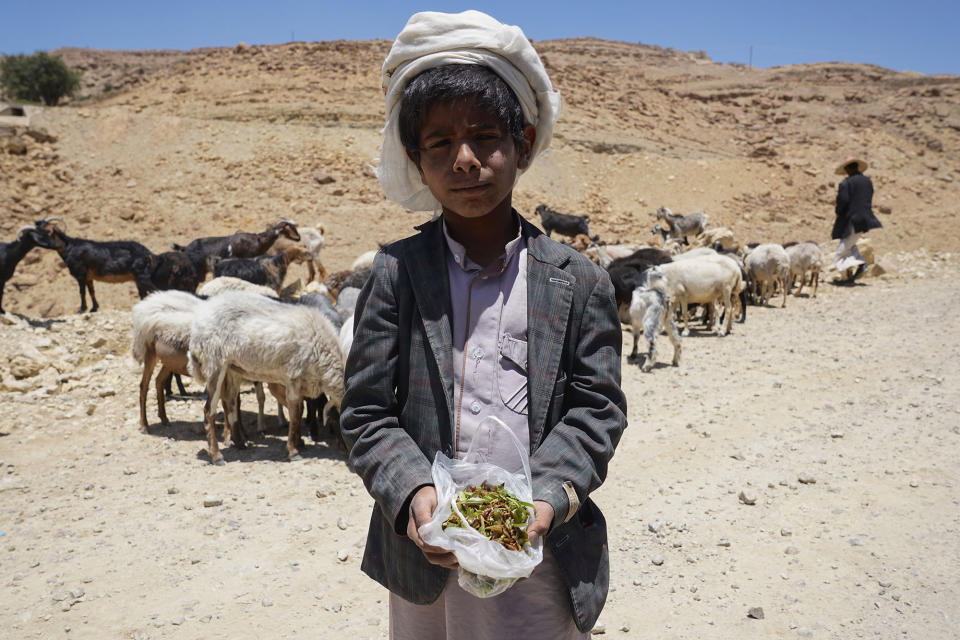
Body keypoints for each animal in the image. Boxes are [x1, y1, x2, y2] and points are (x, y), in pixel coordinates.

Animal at [188, 292, 344, 464]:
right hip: (215, 363)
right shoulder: (293, 377)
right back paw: (216, 456)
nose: (345, 450)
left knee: (230, 402)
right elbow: (295, 414)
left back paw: (240, 443)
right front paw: (293, 451)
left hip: (232, 368)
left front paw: (298, 442)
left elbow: (299, 411)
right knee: (209, 410)